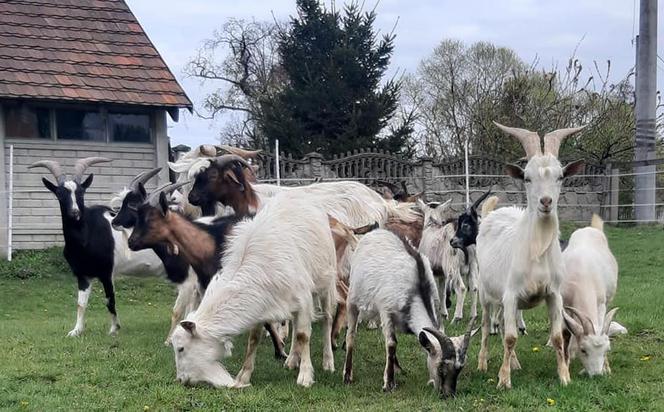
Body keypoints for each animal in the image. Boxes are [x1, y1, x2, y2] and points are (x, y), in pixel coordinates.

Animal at [30, 159, 166, 336]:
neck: (86, 235)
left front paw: (114, 329)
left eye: (81, 192)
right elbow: (81, 304)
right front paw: (76, 331)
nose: (75, 212)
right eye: (59, 193)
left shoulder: (106, 272)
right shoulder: (83, 275)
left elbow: (110, 300)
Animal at [171, 192, 338, 388]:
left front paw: (305, 377)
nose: (181, 379)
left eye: (181, 348)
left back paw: (328, 362)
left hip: (326, 282)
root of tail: (298, 193)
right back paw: (291, 360)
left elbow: (304, 336)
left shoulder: (303, 298)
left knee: (327, 320)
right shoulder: (263, 304)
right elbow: (254, 339)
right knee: (296, 324)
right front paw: (244, 376)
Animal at [564, 216, 624, 376]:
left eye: (606, 350)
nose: (596, 375)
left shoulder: (601, 303)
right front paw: (569, 355)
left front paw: (606, 367)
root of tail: (591, 228)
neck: (583, 276)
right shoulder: (565, 302)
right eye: (583, 350)